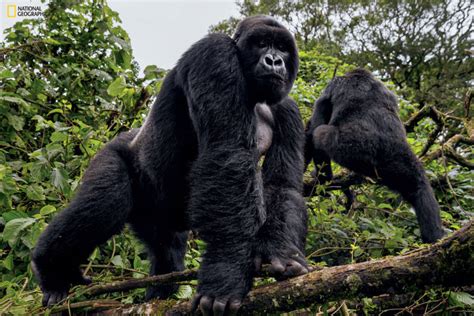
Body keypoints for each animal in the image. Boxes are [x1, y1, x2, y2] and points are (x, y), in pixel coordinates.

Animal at [32, 15, 308, 314]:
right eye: (261, 43)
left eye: (282, 48)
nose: (274, 61)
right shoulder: (213, 54)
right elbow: (228, 157)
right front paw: (225, 274)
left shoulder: (288, 110)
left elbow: (281, 185)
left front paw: (280, 252)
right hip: (112, 154)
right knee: (103, 205)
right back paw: (51, 270)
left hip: (157, 216)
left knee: (167, 252)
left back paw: (156, 296)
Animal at [306, 68, 446, 243]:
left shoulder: (331, 87)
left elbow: (315, 122)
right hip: (400, 160)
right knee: (419, 186)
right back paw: (435, 237)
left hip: (350, 147)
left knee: (320, 132)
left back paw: (323, 177)